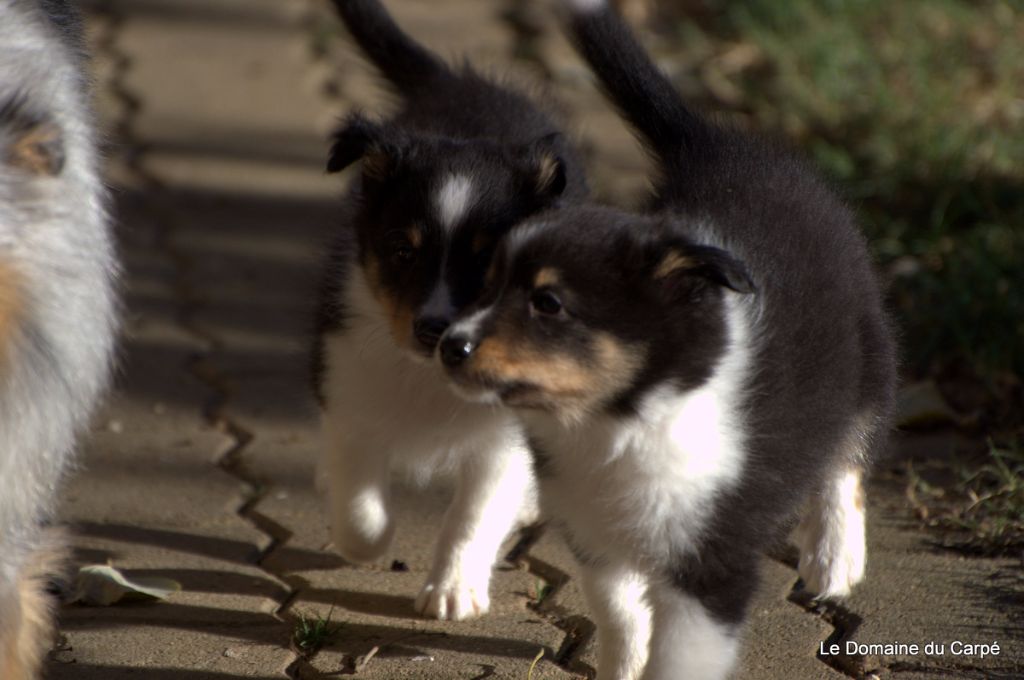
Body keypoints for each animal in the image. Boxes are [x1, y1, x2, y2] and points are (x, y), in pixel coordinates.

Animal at [309, 0, 585, 622]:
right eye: (402, 251)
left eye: (487, 263)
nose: (433, 330)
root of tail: (459, 80)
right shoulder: (348, 389)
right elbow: (362, 506)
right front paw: (363, 539)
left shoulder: (502, 437)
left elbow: (474, 515)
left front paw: (454, 589)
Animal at [440, 2, 897, 675]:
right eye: (488, 284)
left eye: (548, 303)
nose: (450, 346)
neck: (619, 422)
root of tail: (718, 146)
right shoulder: (596, 536)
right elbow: (620, 615)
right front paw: (621, 665)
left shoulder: (710, 563)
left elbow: (680, 655)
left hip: (867, 348)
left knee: (851, 449)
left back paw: (833, 558)